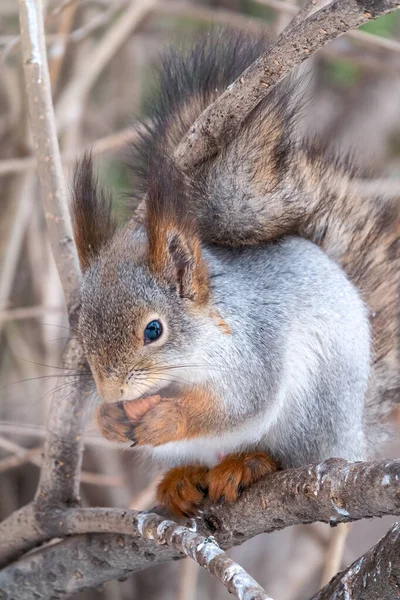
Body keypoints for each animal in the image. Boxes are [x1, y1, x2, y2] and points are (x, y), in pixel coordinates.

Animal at [72, 29, 400, 516]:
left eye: (154, 330)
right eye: (78, 326)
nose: (112, 392)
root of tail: (354, 437)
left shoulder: (253, 352)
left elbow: (236, 405)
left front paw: (168, 417)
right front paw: (107, 417)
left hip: (311, 412)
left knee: (284, 455)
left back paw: (249, 464)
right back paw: (182, 480)